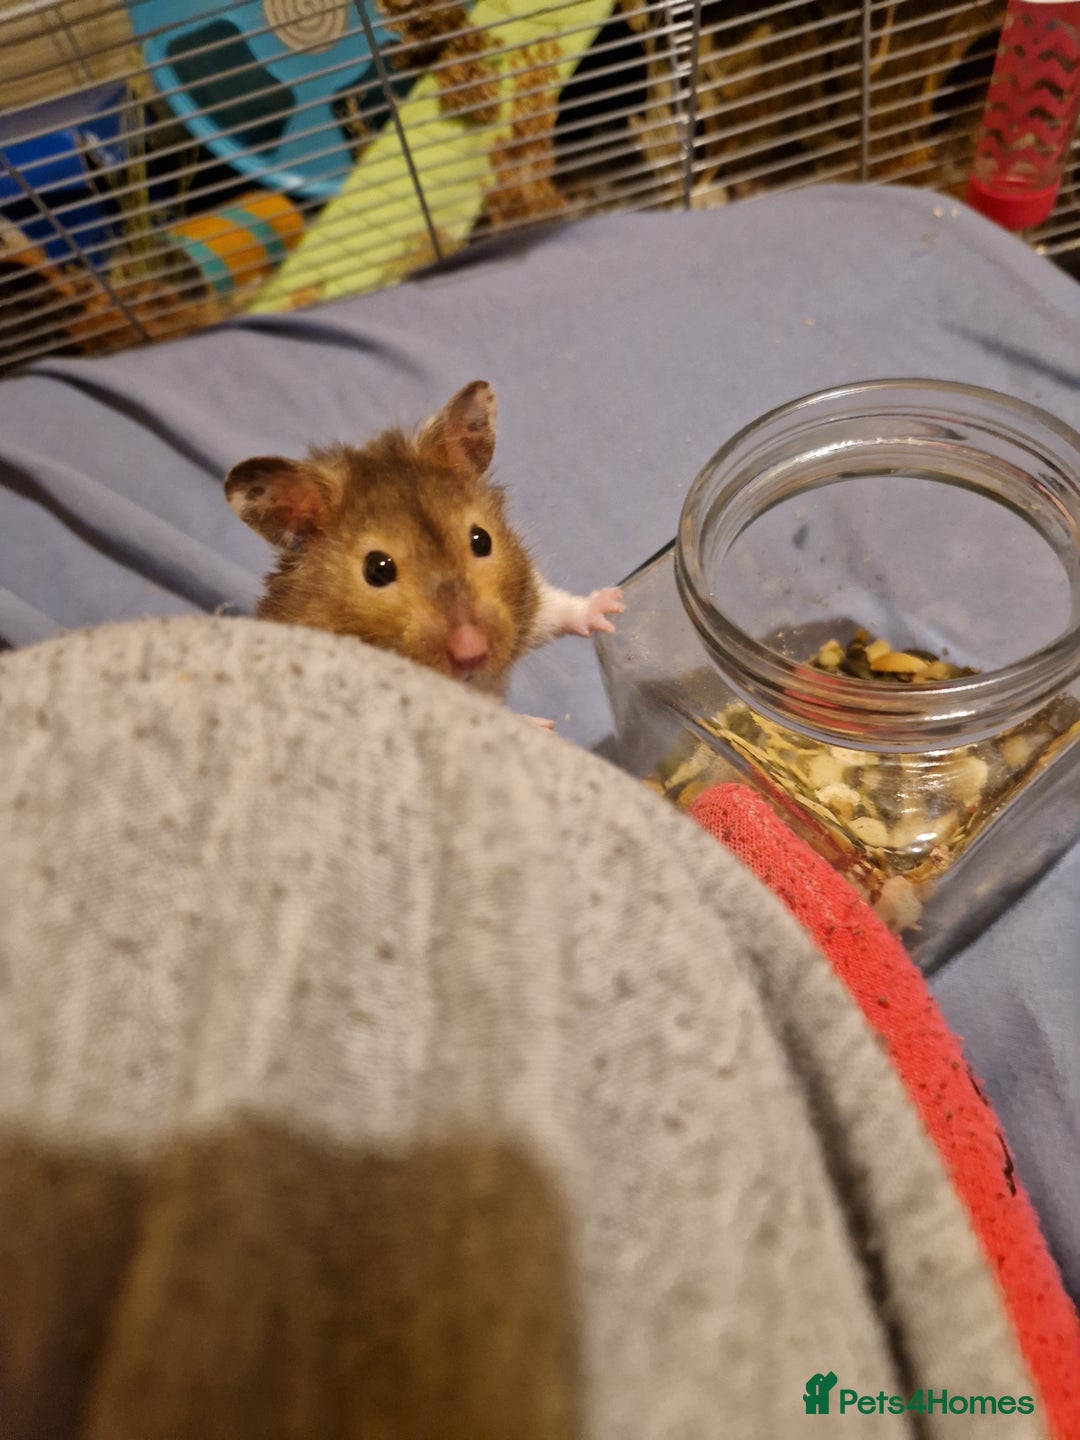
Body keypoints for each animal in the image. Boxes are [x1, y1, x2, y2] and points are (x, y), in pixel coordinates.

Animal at [224, 380, 624, 714]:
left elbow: (557, 610)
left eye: (482, 540)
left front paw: (613, 605)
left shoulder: (522, 605)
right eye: (376, 569)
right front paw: (541, 726)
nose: (471, 651)